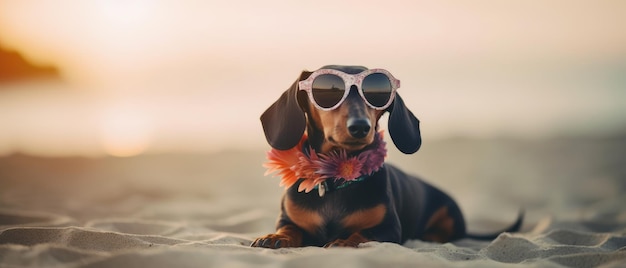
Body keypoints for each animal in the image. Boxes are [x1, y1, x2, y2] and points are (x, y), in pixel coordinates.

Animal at [251, 65, 520, 249]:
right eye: (326, 93)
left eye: (376, 94)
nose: (360, 127)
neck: (337, 178)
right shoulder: (288, 219)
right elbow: (289, 229)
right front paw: (274, 237)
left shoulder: (389, 229)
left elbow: (362, 234)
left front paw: (343, 241)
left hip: (450, 212)